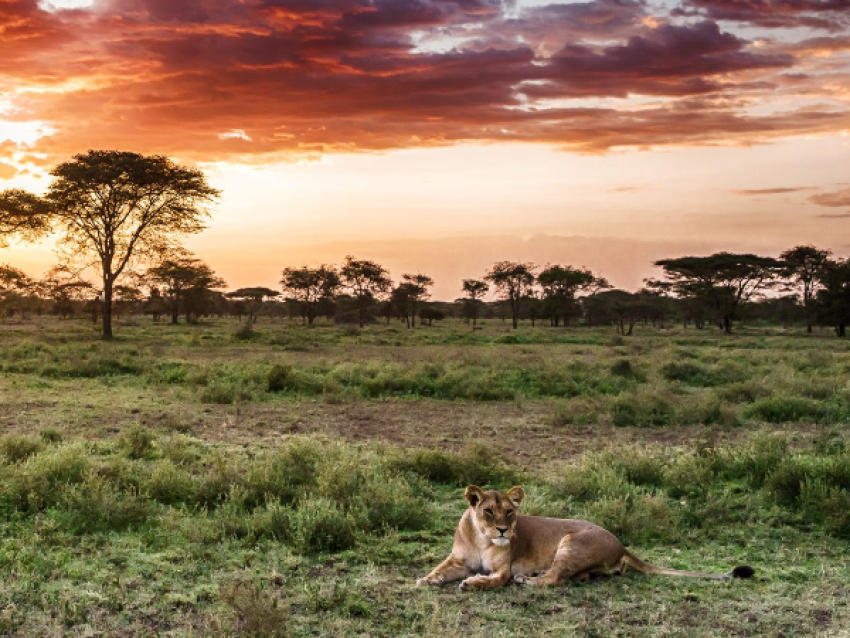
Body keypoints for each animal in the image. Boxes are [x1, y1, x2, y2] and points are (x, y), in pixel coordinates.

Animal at [416, 485, 754, 591]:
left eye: (509, 513)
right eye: (488, 511)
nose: (503, 531)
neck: (481, 538)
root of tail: (621, 543)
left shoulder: (503, 569)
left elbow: (493, 579)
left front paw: (472, 583)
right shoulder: (458, 559)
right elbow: (440, 569)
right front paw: (427, 579)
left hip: (571, 543)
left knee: (555, 578)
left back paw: (529, 579)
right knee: (572, 576)